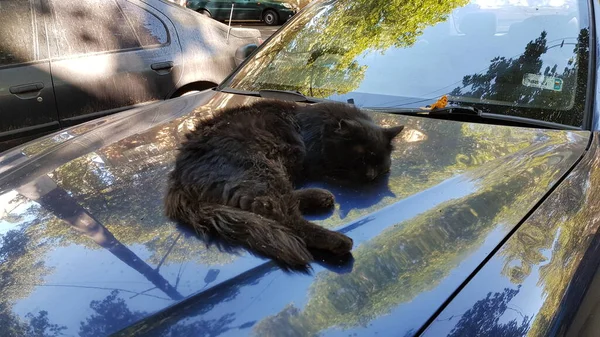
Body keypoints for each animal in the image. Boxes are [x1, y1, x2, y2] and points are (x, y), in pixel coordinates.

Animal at [164, 98, 404, 266]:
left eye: (379, 162)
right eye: (362, 158)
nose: (371, 176)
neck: (321, 125)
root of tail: (177, 180)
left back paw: (322, 197)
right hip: (260, 170)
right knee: (285, 216)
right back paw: (338, 240)